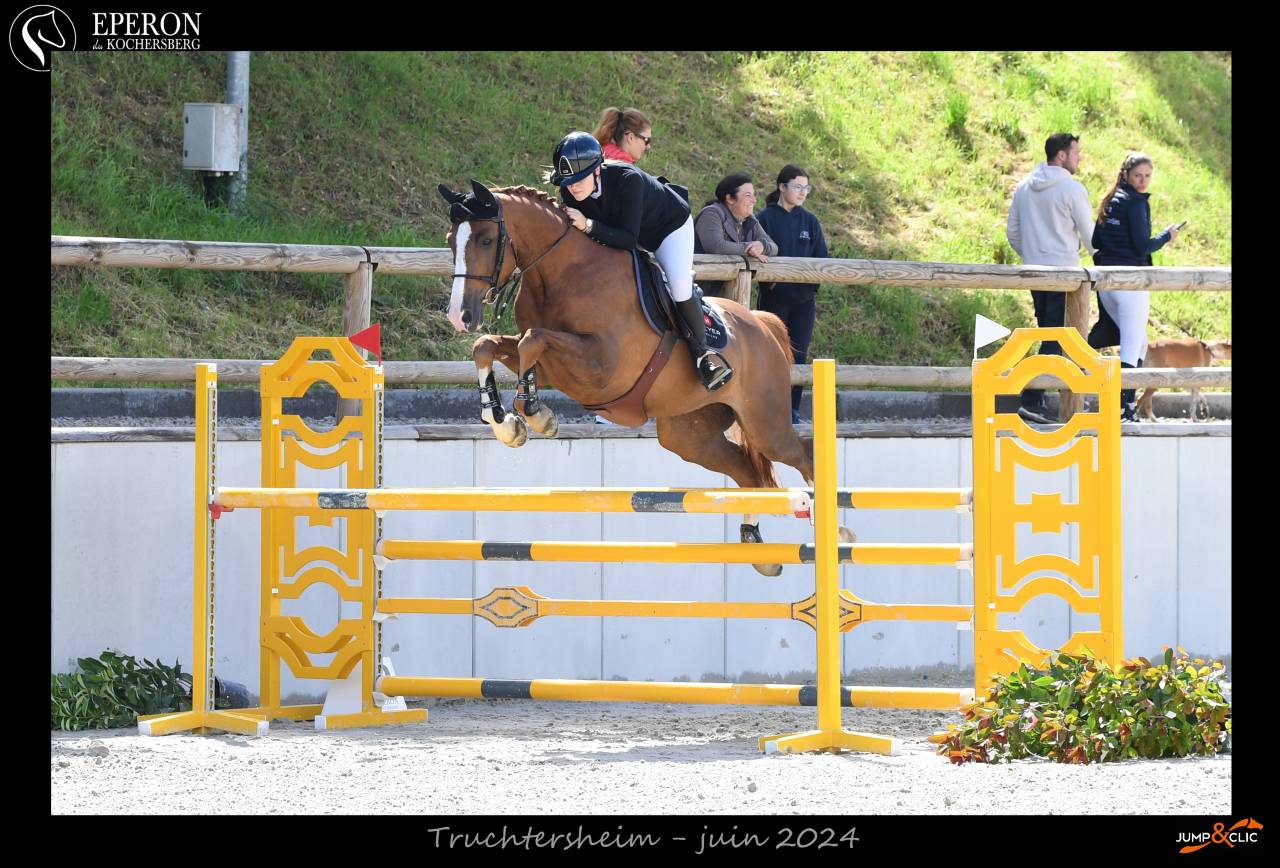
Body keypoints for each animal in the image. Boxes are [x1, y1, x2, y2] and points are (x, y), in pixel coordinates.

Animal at [437, 179, 852, 575]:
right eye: (450, 241)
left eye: (486, 239)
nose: (460, 316)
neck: (560, 273)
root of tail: (762, 323)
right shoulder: (555, 363)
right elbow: (491, 347)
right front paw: (505, 422)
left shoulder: (603, 365)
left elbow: (532, 343)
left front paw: (537, 416)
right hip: (689, 434)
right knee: (746, 472)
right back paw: (757, 547)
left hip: (764, 421)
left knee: (801, 456)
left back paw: (839, 533)